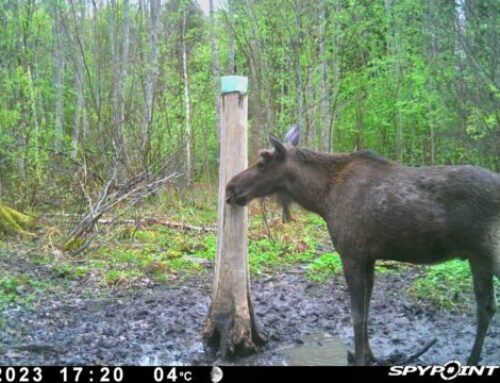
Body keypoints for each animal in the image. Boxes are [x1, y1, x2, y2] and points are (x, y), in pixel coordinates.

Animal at [227, 125, 500, 366]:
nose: (230, 187)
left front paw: (359, 358)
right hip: (479, 258)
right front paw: (369, 355)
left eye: (262, 162)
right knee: (487, 306)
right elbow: (368, 310)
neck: (322, 199)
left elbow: (357, 314)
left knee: (485, 307)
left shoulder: (351, 254)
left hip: (486, 254)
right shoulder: (369, 257)